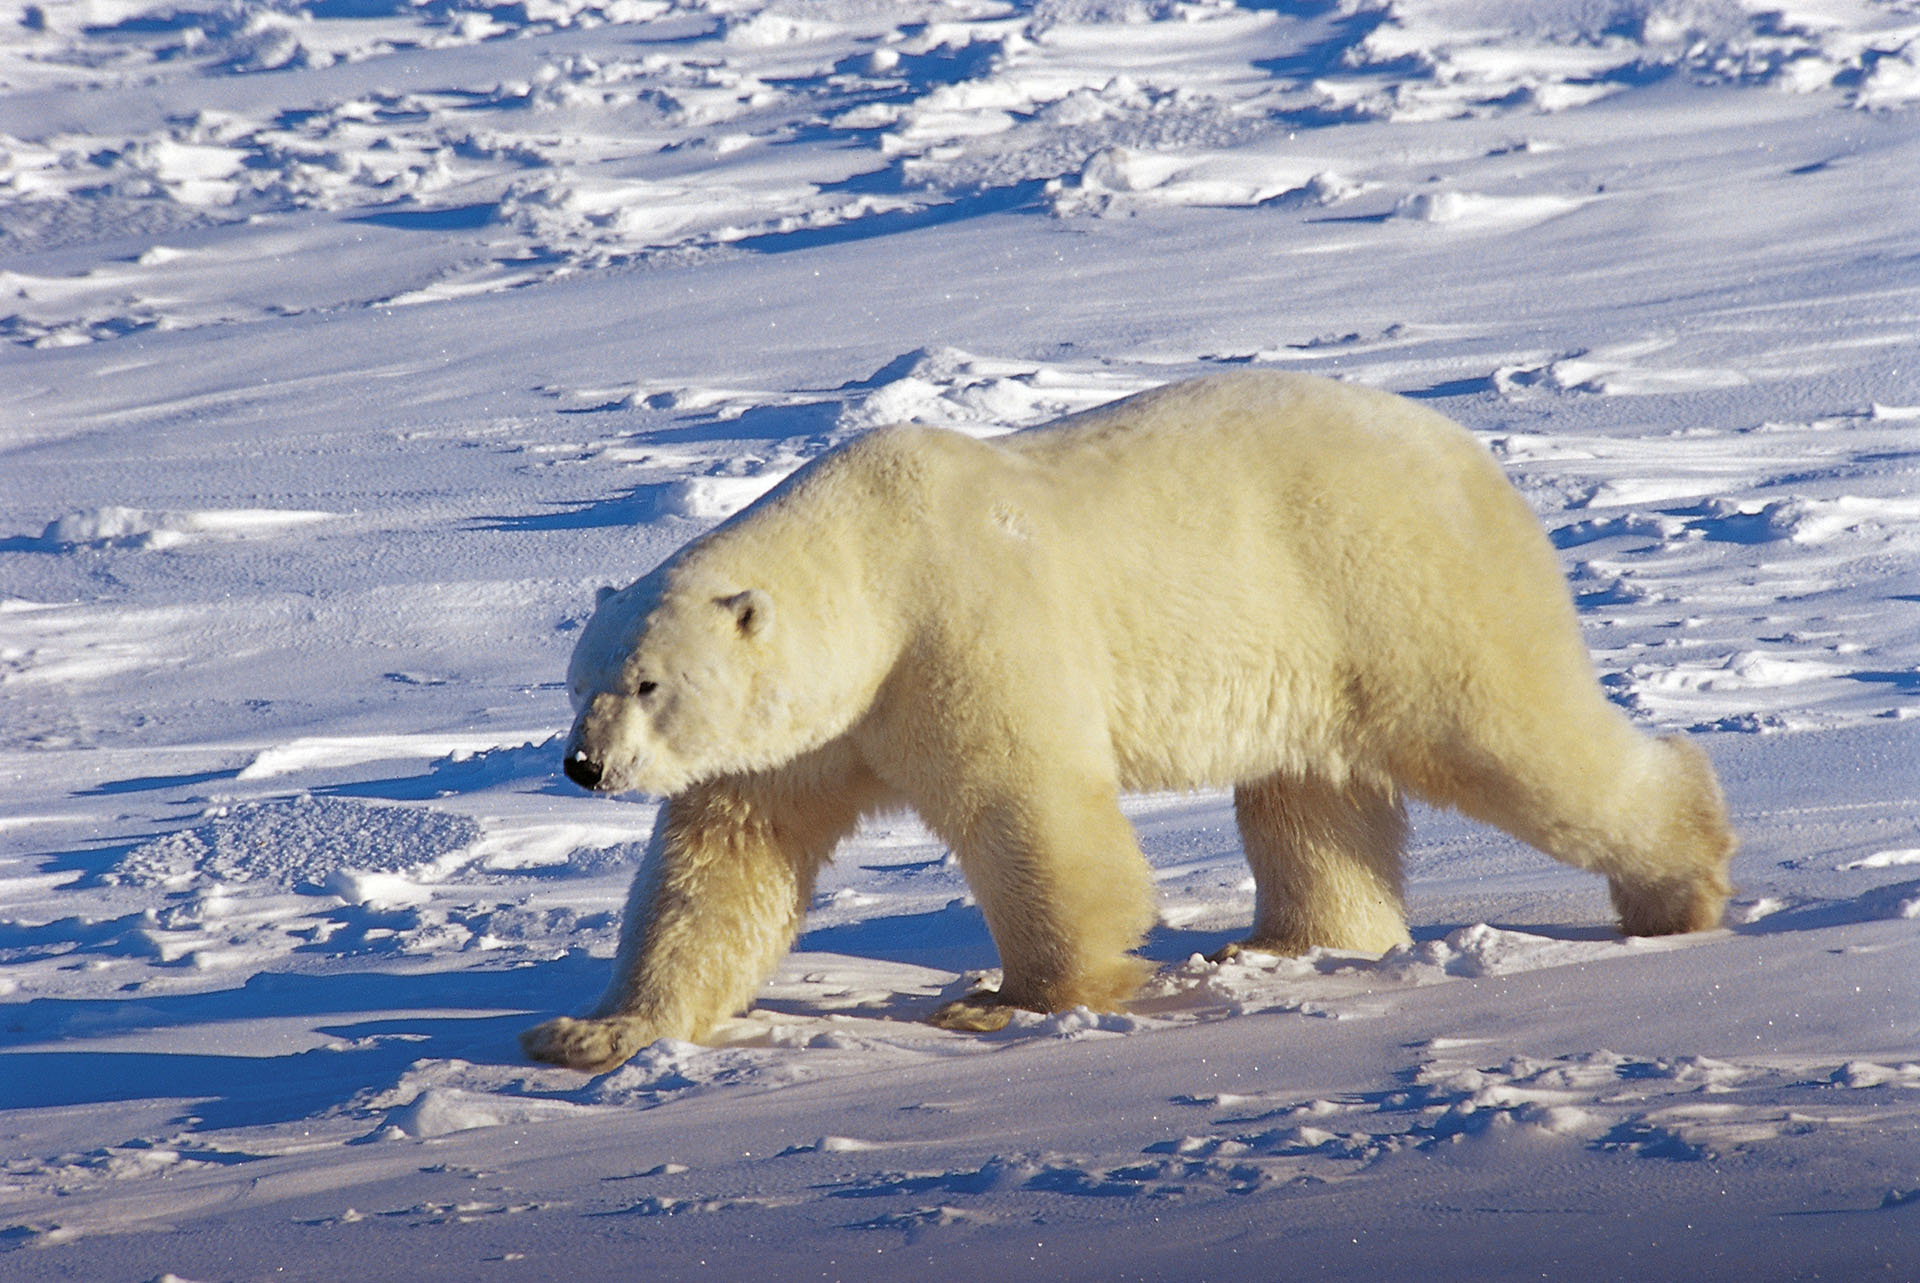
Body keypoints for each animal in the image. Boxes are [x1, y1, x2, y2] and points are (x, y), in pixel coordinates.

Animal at [522, 368, 1743, 1075]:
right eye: (578, 678)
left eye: (646, 683)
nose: (584, 767)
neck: (871, 555)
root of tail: (1466, 448)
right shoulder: (810, 732)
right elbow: (722, 867)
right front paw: (592, 1031)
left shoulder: (963, 630)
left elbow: (1029, 809)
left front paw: (1009, 1002)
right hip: (1310, 636)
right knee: (1308, 795)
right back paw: (1289, 939)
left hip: (1393, 584)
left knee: (1511, 737)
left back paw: (1679, 884)